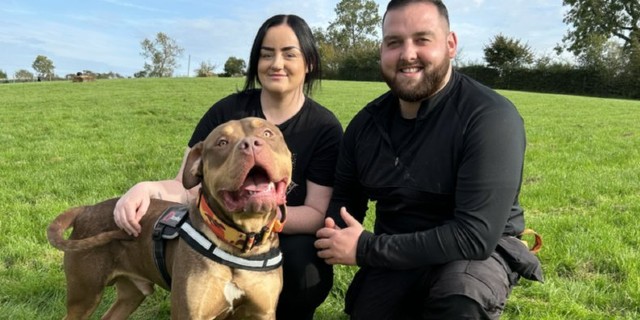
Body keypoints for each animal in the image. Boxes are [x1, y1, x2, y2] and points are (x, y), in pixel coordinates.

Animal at [47, 117, 292, 318]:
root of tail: (86, 209)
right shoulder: (188, 314)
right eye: (222, 143)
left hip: (130, 294)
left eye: (268, 133)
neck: (240, 242)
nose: (250, 144)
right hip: (84, 296)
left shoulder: (262, 313)